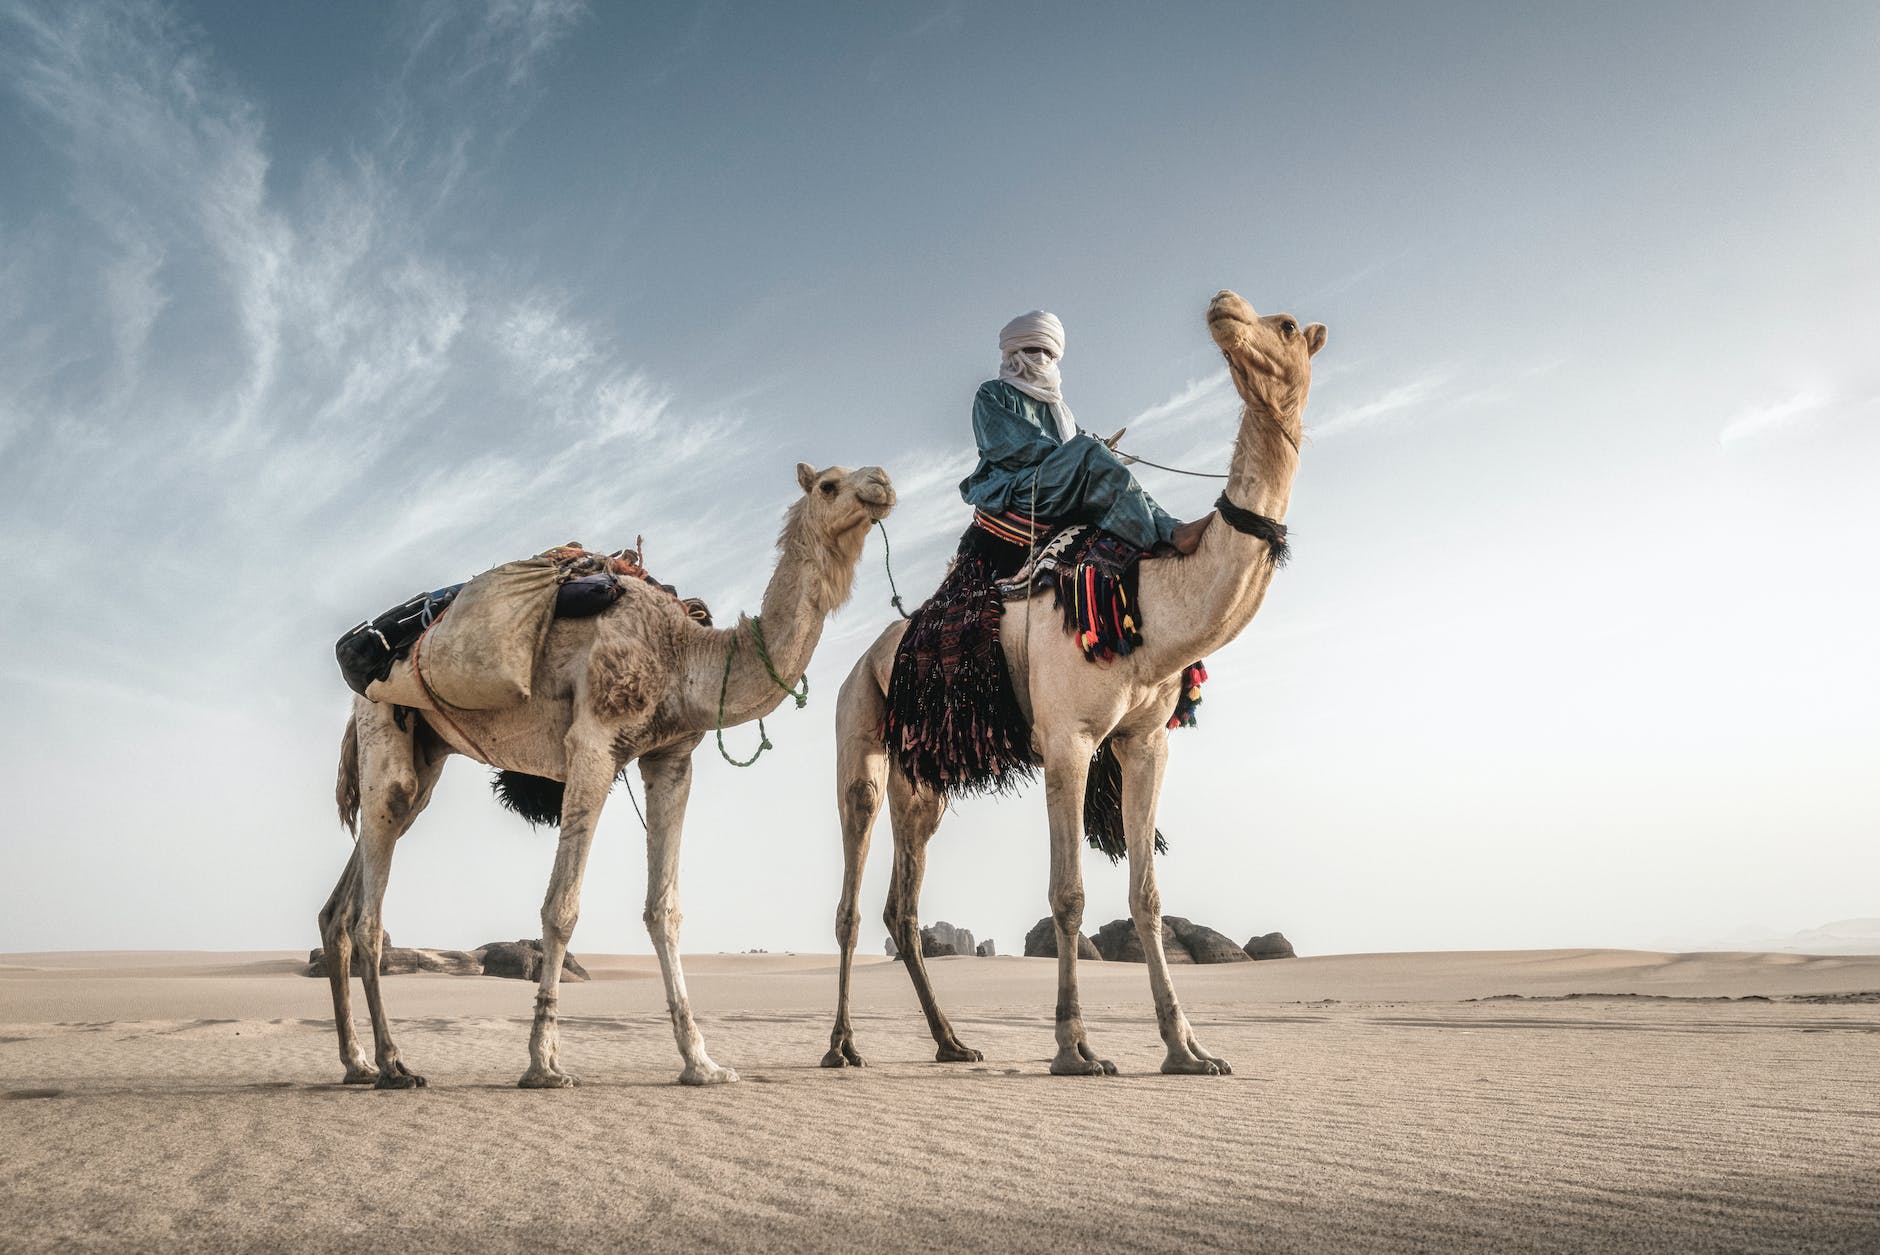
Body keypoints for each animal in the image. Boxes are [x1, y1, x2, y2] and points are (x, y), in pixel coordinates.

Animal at [323, 460, 894, 1089]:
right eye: (829, 485)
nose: (882, 483)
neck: (684, 654)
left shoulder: (670, 758)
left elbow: (664, 910)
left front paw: (702, 1063)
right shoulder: (594, 744)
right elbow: (561, 908)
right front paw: (544, 1064)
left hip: (428, 753)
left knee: (343, 906)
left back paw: (356, 1061)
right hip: (383, 727)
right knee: (370, 906)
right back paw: (393, 1063)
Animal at [823, 289, 1323, 1074]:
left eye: (1286, 326)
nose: (1224, 305)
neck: (1155, 598)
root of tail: (865, 658)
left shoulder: (1144, 741)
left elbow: (1146, 894)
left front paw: (1188, 1049)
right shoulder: (1068, 739)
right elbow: (1069, 894)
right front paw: (1075, 1048)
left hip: (923, 773)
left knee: (901, 907)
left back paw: (951, 1042)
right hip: (858, 731)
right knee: (851, 888)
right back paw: (842, 1045)